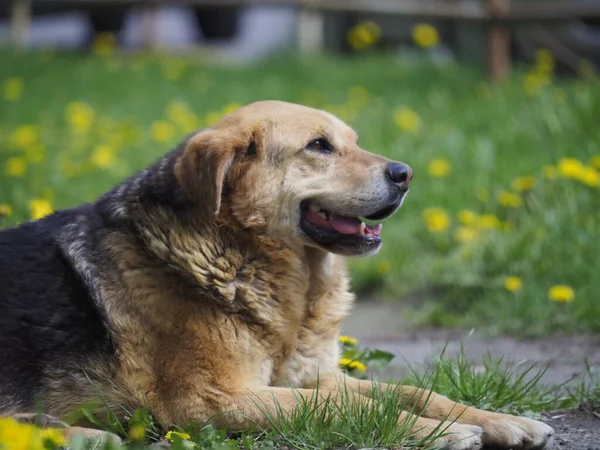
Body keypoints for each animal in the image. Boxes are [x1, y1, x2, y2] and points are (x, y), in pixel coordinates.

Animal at [0, 100, 552, 448]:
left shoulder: (316, 377)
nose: (406, 174)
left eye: (353, 142)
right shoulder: (213, 400)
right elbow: (341, 411)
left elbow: (414, 393)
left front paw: (498, 420)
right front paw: (436, 433)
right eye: (319, 146)